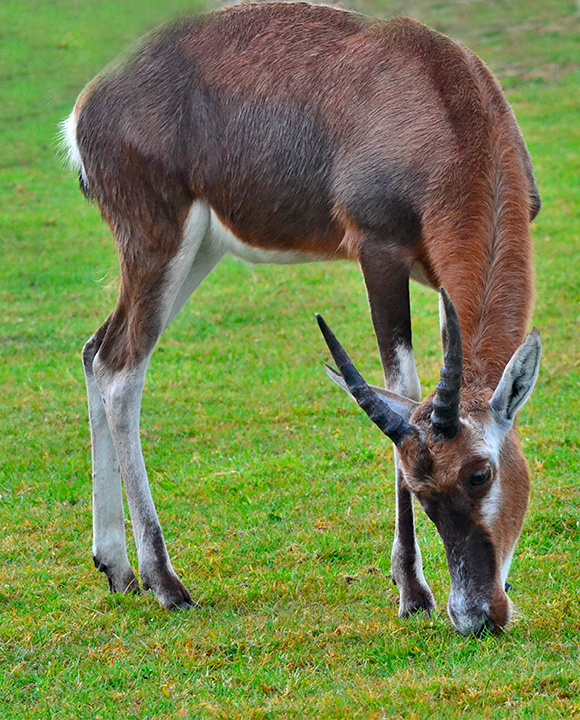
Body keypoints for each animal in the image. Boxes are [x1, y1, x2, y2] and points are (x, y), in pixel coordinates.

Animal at [61, 0, 540, 632]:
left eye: (480, 473)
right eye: (420, 488)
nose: (476, 614)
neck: (433, 91)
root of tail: (92, 101)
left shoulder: (440, 281)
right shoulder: (379, 254)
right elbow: (403, 387)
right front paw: (413, 593)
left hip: (198, 251)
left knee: (97, 352)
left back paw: (117, 569)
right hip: (158, 247)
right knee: (121, 370)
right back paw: (165, 583)